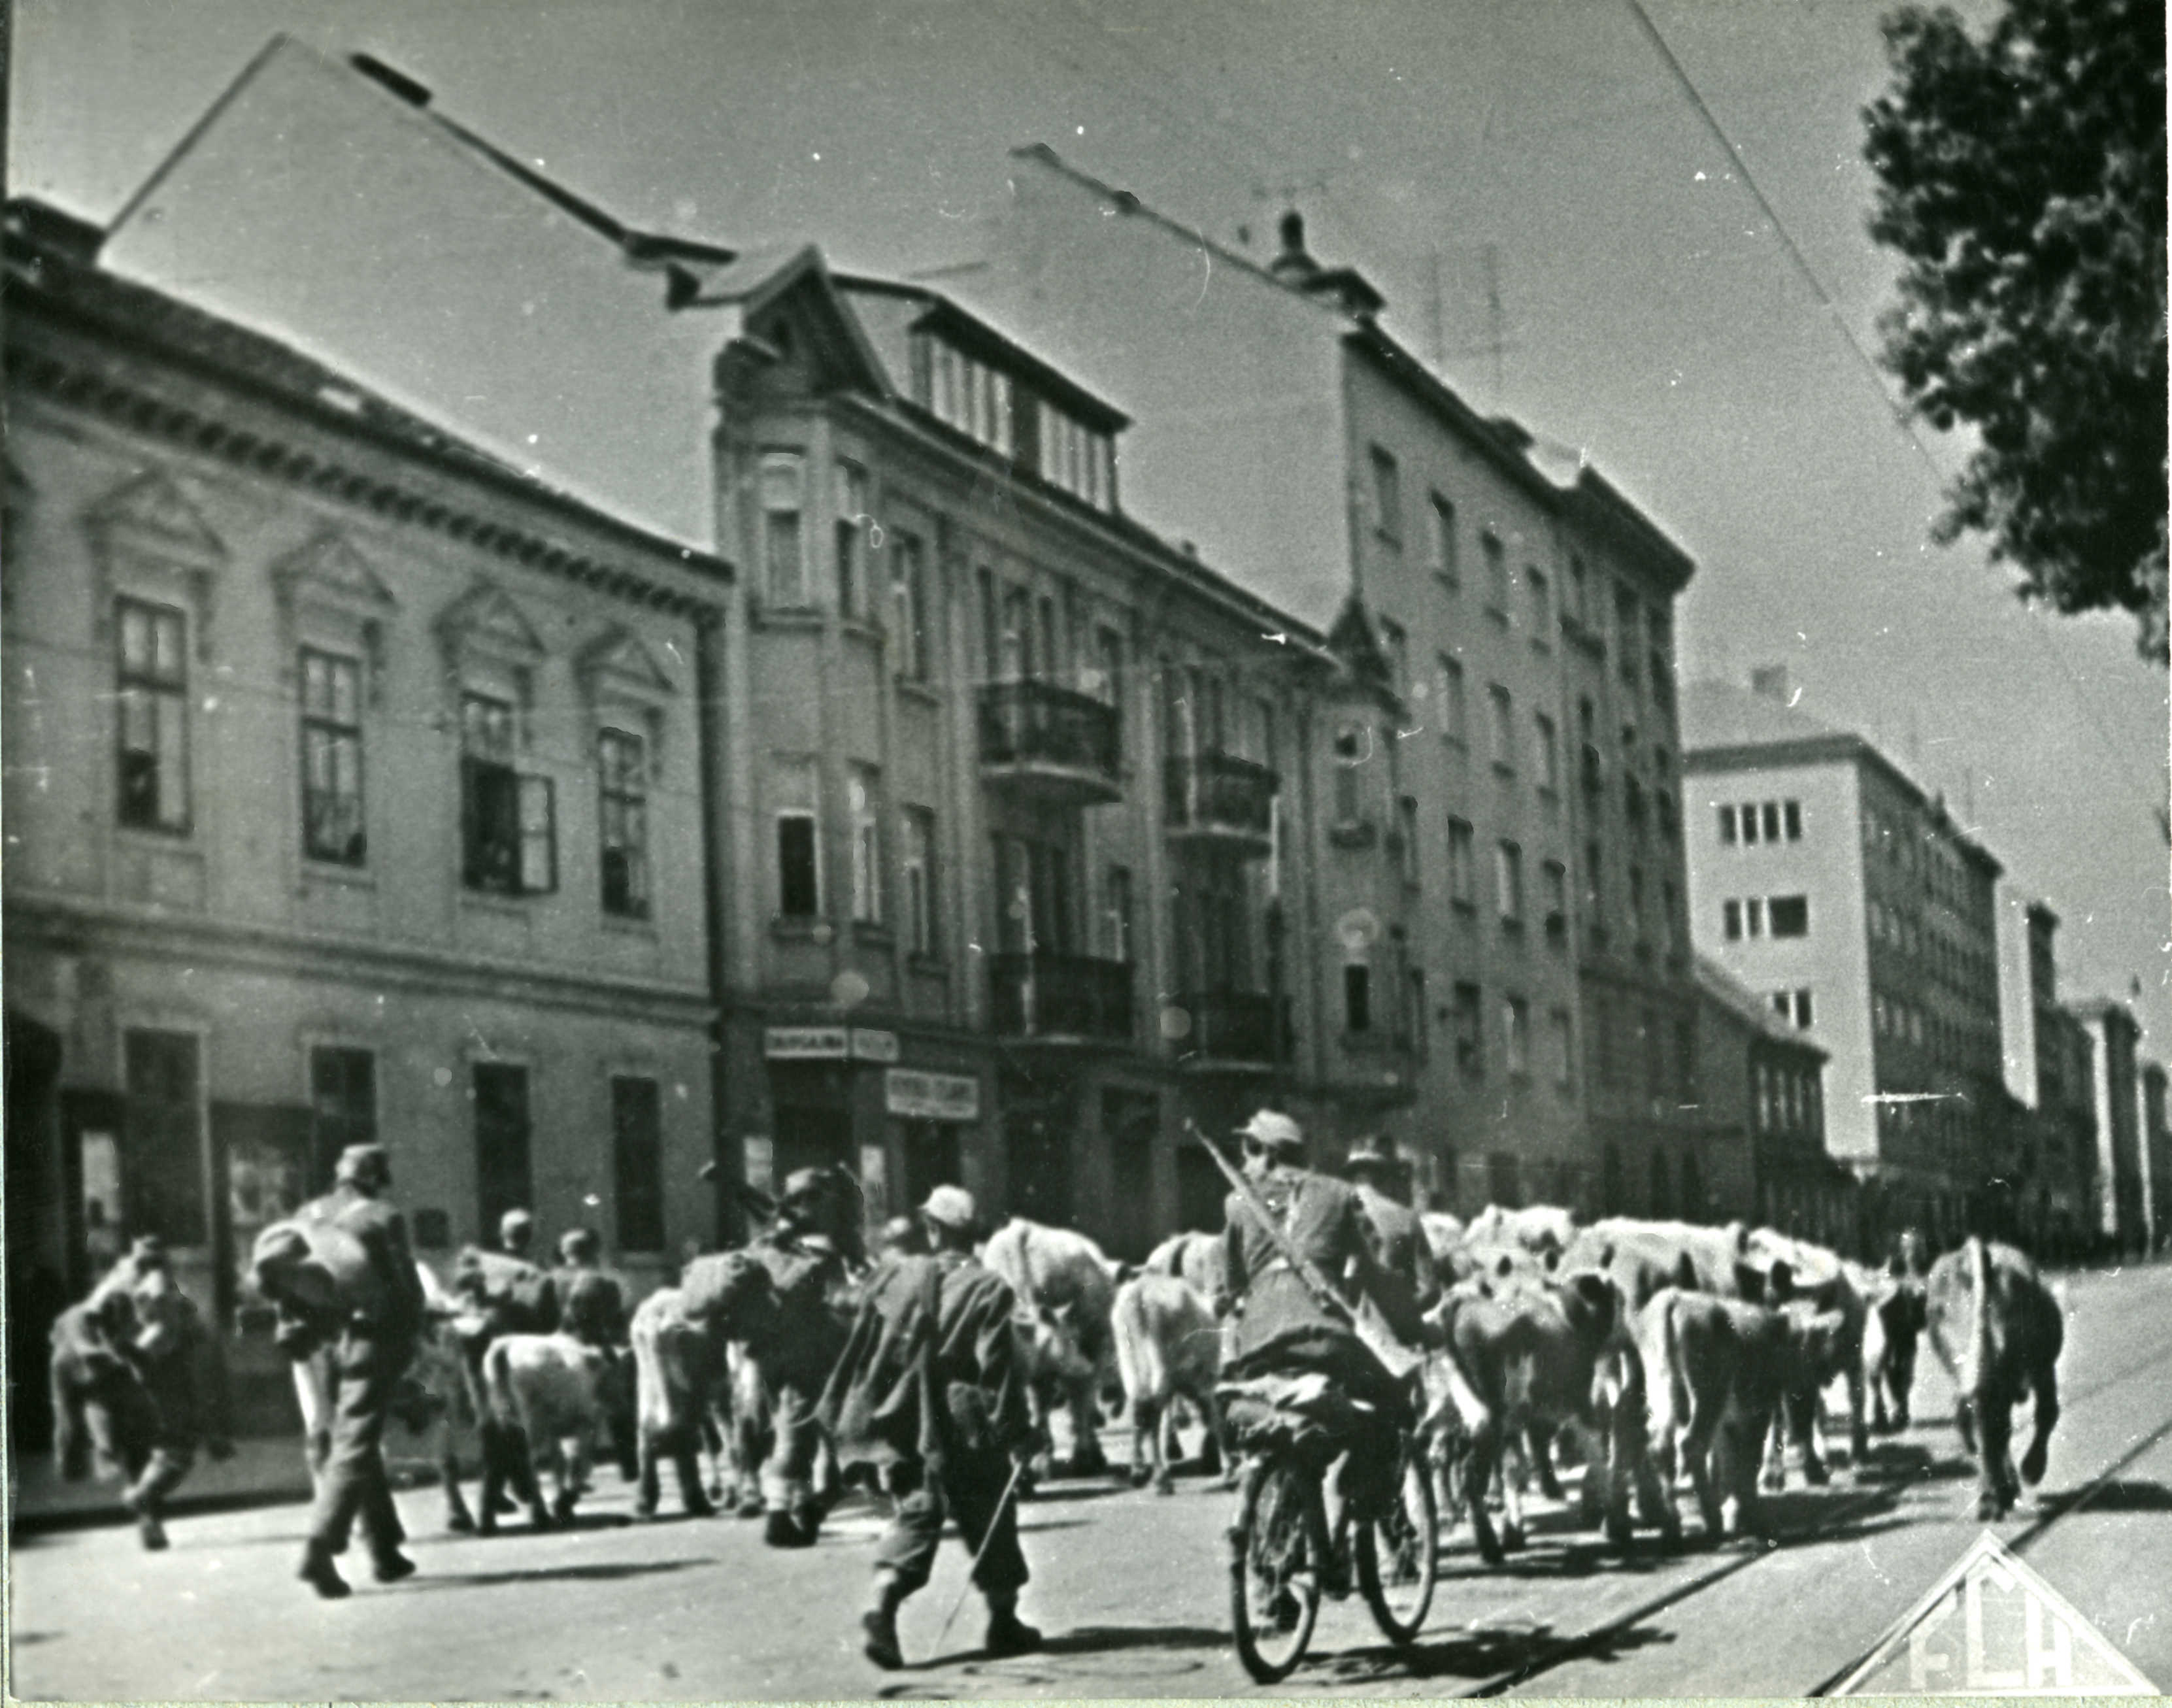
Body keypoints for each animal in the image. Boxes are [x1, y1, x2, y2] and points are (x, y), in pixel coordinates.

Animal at [1112, 1260, 1233, 1495]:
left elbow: (1167, 1420)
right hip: (1160, 1363)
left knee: (1140, 1410)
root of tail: (1140, 1292)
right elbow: (1213, 1417)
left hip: (1131, 1365)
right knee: (1151, 1412)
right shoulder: (1202, 1382)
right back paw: (1160, 1479)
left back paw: (1139, 1471)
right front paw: (1229, 1470)